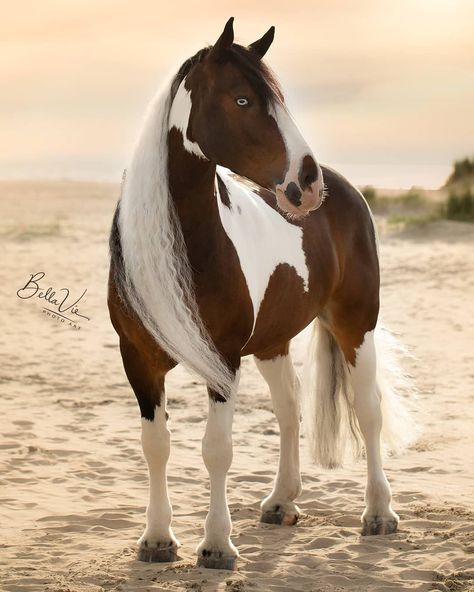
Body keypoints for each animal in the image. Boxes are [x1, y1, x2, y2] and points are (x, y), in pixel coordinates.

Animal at [107, 18, 414, 572]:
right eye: (243, 100)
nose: (307, 183)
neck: (185, 247)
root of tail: (347, 191)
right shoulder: (138, 357)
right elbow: (156, 444)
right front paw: (157, 539)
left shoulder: (223, 359)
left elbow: (217, 449)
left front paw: (216, 546)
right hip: (272, 341)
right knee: (289, 409)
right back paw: (280, 502)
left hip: (356, 324)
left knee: (368, 410)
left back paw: (379, 513)